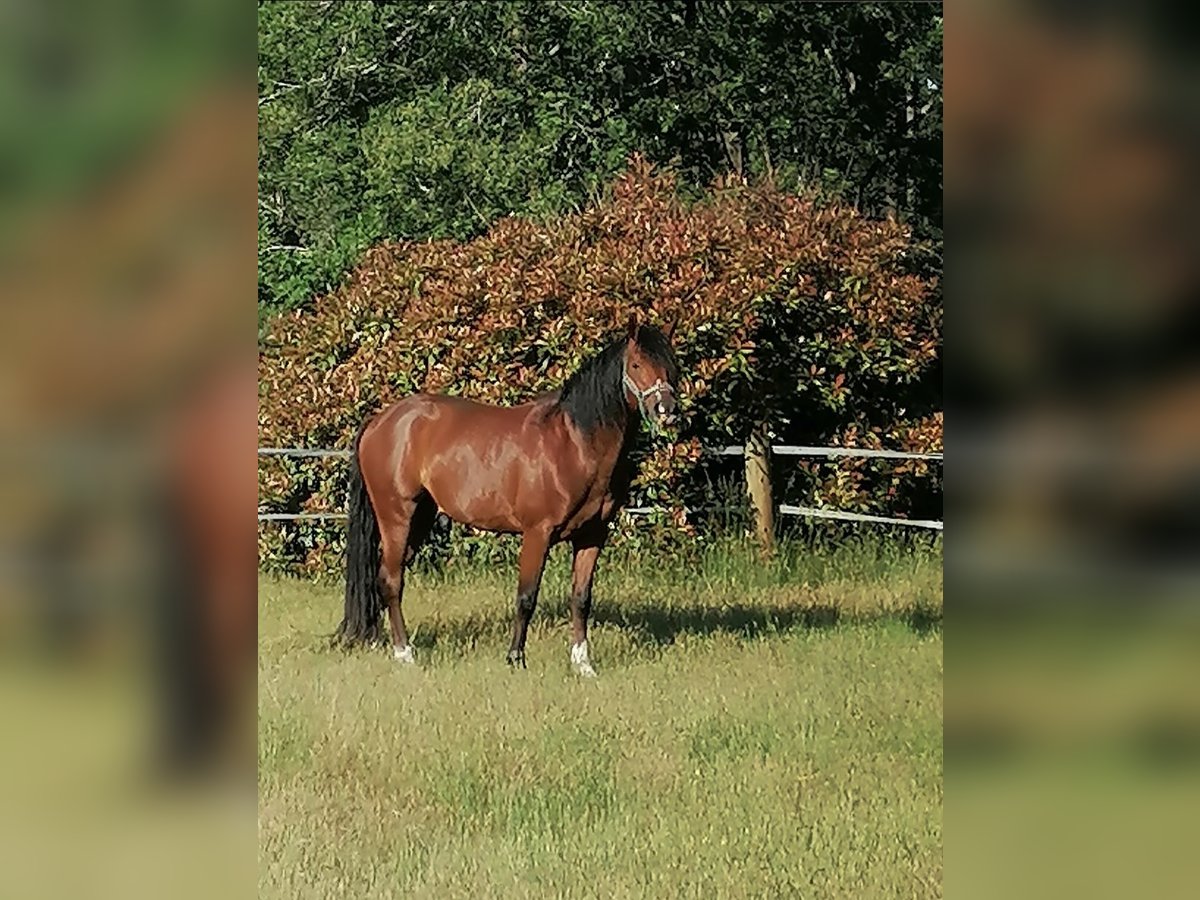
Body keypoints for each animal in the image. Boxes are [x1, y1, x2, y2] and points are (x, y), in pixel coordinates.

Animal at [334, 316, 680, 676]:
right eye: (637, 364)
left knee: (383, 579)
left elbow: (581, 598)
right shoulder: (537, 534)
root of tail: (380, 421)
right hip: (396, 518)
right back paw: (405, 653)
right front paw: (515, 657)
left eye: (672, 364)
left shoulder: (592, 535)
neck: (573, 444)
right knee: (391, 580)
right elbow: (526, 597)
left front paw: (583, 664)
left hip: (420, 519)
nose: (667, 409)